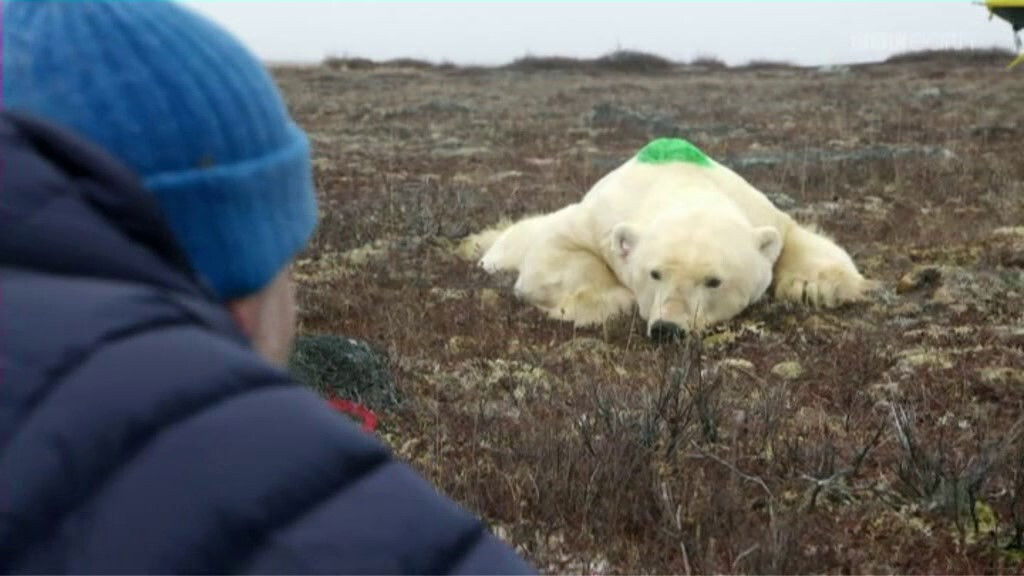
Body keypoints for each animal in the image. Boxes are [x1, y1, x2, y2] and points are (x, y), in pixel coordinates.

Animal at [465, 138, 877, 339]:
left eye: (713, 281)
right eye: (655, 273)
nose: (668, 329)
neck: (681, 178)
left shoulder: (761, 211)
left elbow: (794, 237)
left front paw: (817, 287)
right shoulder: (601, 218)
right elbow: (555, 253)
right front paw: (604, 301)